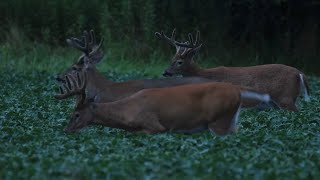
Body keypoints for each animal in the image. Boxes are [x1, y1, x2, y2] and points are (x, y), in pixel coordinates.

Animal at [56, 71, 272, 135]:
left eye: (76, 114)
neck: (129, 110)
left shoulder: (155, 126)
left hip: (219, 120)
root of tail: (236, 90)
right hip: (231, 119)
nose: (66, 130)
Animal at [155, 29, 310, 111]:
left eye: (179, 62)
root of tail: (300, 73)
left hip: (285, 97)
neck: (203, 75)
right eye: (171, 59)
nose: (165, 72)